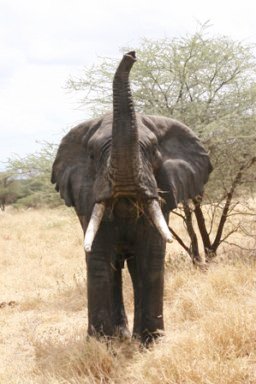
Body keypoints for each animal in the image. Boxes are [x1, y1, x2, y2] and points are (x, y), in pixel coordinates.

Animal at [52, 51, 212, 344]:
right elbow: (99, 257)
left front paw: (150, 342)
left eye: (152, 150)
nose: (131, 55)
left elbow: (150, 258)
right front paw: (102, 344)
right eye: (92, 154)